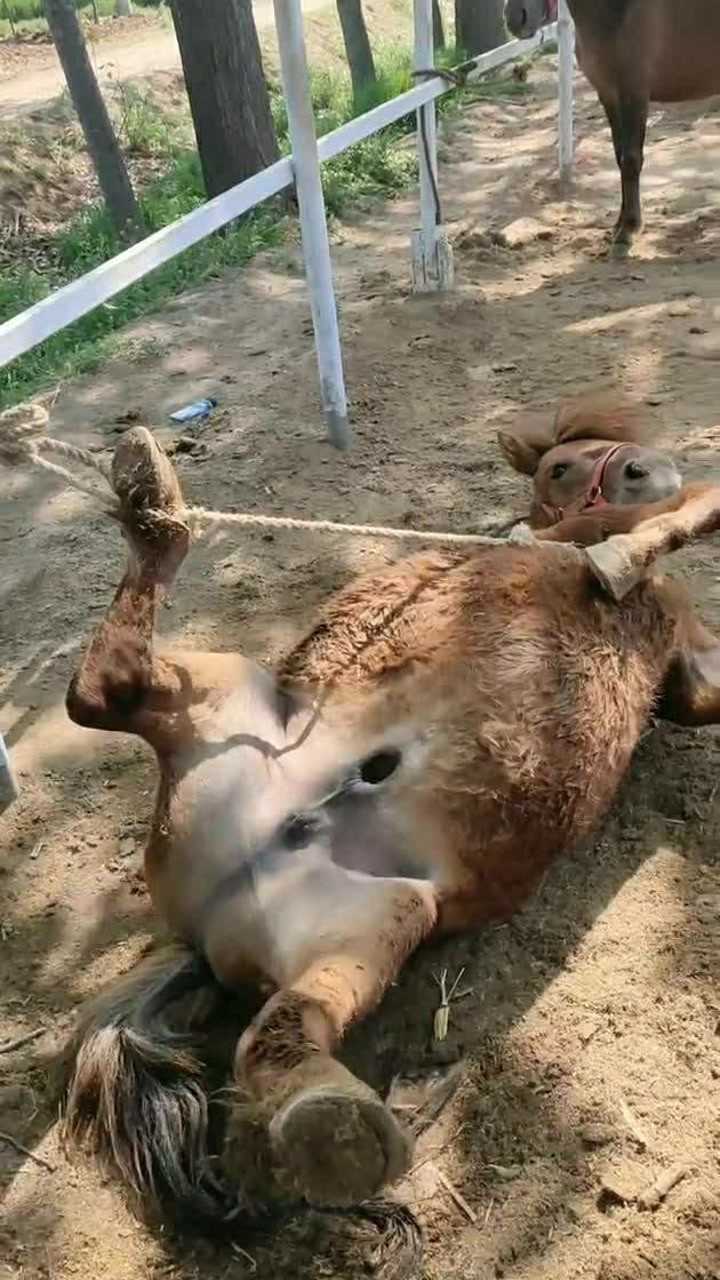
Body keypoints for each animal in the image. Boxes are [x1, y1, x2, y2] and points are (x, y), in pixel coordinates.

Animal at [59, 398, 720, 1257]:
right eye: (563, 464)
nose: (641, 469)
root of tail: (202, 939)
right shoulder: (607, 536)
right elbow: (674, 517)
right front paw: (627, 550)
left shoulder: (686, 666)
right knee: (100, 692)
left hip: (371, 918)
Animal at [505, 0, 720, 248]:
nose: (515, 18)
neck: (617, 12)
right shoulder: (608, 94)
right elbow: (620, 157)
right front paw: (620, 223)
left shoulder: (635, 94)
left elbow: (631, 159)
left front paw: (630, 228)